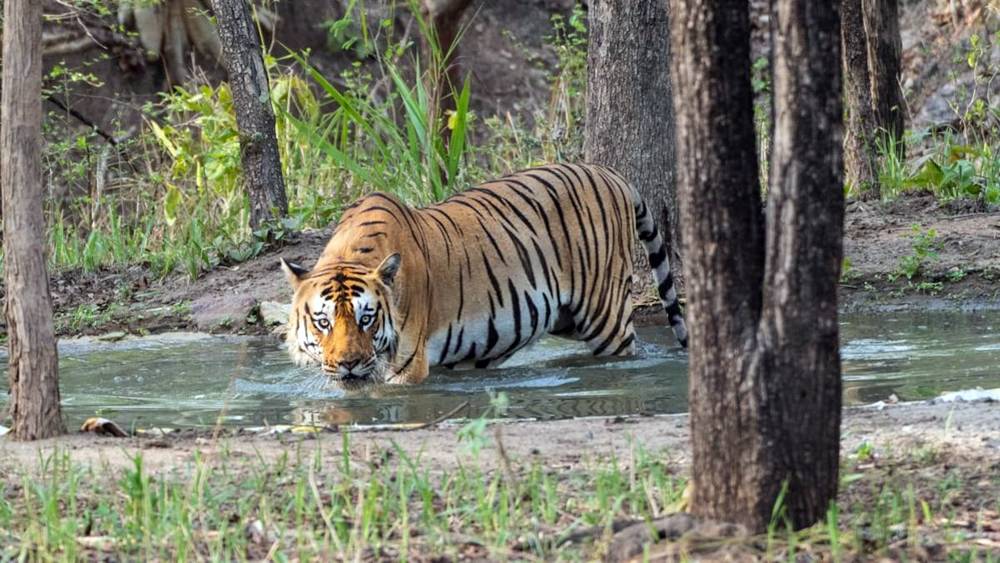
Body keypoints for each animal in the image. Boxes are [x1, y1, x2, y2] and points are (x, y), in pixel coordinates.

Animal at [282, 161, 688, 388]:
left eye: (366, 318)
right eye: (323, 322)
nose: (348, 364)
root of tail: (611, 173)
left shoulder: (408, 365)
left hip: (604, 316)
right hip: (565, 317)